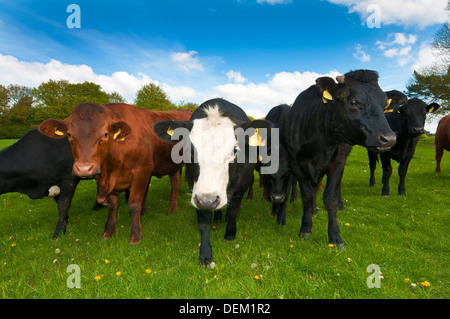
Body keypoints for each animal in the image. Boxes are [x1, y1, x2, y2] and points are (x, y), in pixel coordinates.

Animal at [38, 104, 192, 244]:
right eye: (69, 134)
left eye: (105, 134)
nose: (84, 168)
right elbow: (112, 205)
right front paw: (107, 233)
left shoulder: (141, 171)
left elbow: (134, 203)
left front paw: (135, 236)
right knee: (175, 181)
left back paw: (172, 209)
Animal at [153, 98, 272, 264]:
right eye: (189, 150)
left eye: (234, 150)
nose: (208, 201)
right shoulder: (196, 189)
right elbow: (204, 219)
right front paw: (205, 254)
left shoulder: (242, 184)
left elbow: (234, 210)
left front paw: (230, 233)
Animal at [284, 70, 398, 250]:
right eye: (353, 101)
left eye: (384, 104)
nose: (389, 139)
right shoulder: (297, 165)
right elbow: (307, 196)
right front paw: (306, 227)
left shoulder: (337, 163)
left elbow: (330, 198)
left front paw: (335, 237)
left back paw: (340, 205)